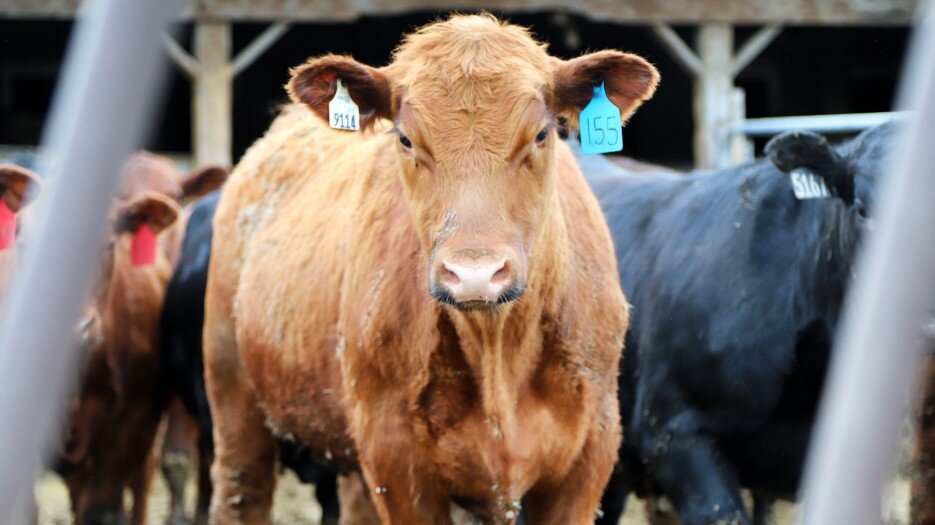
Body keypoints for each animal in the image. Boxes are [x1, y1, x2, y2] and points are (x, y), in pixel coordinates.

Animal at [202, 13, 658, 524]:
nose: (475, 272)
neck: (498, 349)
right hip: (233, 395)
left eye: (542, 135)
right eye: (405, 138)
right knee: (242, 487)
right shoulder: (396, 462)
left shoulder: (589, 457)